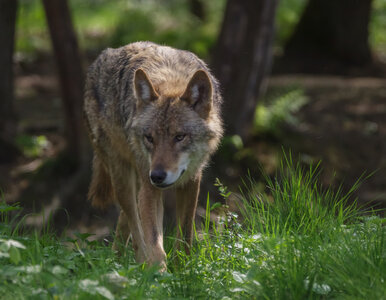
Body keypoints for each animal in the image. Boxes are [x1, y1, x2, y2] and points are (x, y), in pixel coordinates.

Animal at [83, 41, 225, 268]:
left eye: (179, 137)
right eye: (149, 138)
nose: (157, 176)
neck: (170, 79)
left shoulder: (191, 181)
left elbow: (185, 234)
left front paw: (183, 268)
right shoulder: (150, 189)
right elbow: (154, 242)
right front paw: (158, 272)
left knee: (125, 222)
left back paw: (117, 259)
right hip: (123, 177)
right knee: (133, 223)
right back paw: (137, 263)